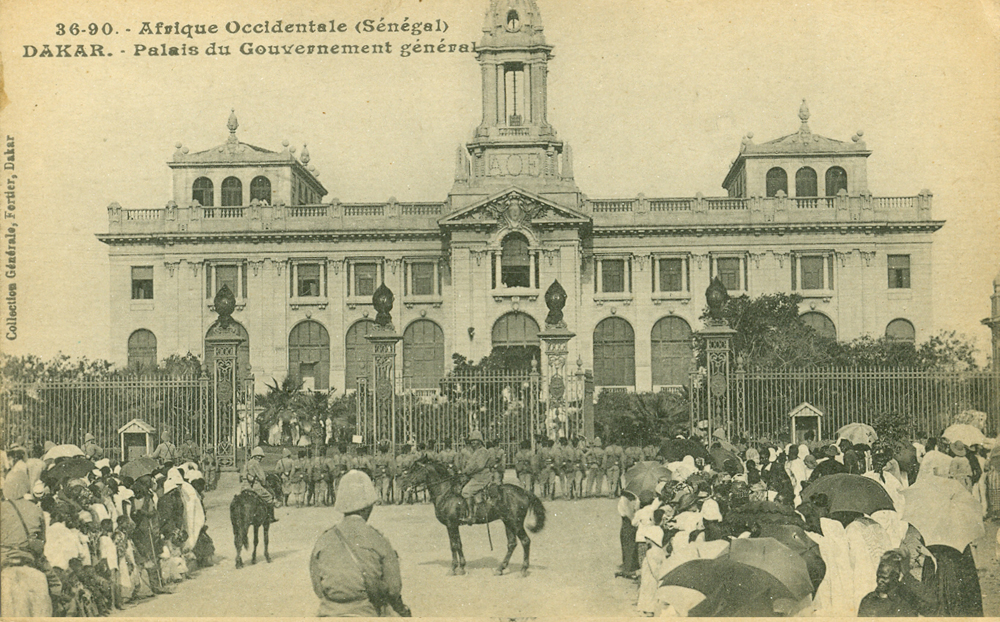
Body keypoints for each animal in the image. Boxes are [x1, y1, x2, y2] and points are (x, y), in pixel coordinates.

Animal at [398, 456, 548, 576]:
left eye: (415, 469)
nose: (403, 484)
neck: (446, 492)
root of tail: (524, 491)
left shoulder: (451, 524)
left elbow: (454, 545)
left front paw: (454, 568)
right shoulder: (452, 525)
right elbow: (457, 544)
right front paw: (462, 567)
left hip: (515, 523)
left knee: (525, 541)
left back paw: (523, 569)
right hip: (508, 522)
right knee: (512, 544)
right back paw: (500, 568)